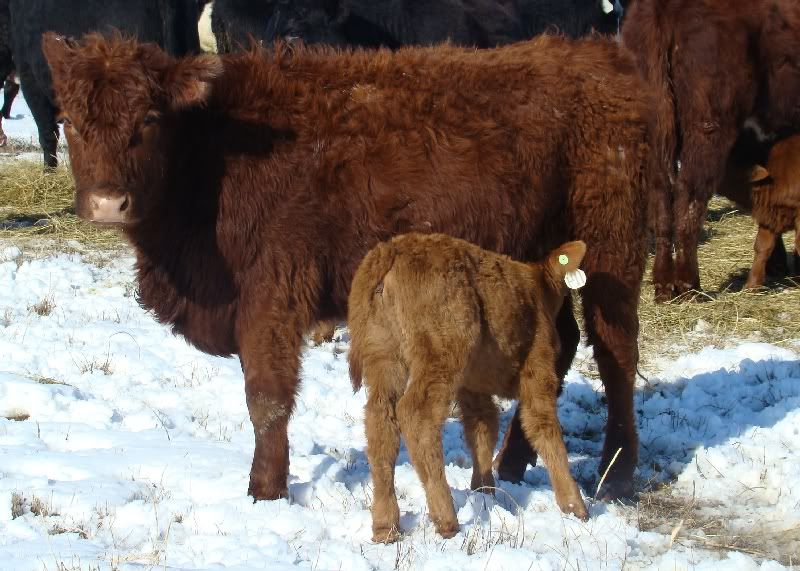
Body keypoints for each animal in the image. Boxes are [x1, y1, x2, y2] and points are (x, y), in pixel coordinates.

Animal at [42, 32, 660, 502]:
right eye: (68, 119)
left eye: (149, 118)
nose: (107, 203)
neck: (216, 149)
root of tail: (596, 53)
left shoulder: (273, 294)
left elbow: (266, 397)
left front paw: (266, 490)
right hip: (541, 256)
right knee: (560, 341)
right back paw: (511, 464)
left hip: (613, 243)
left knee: (616, 349)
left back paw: (616, 473)